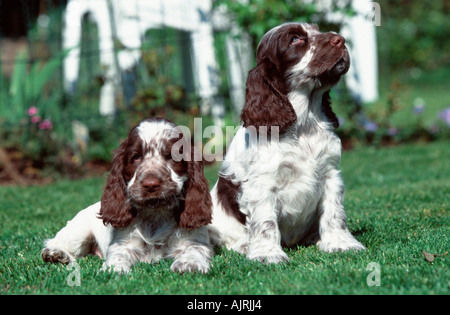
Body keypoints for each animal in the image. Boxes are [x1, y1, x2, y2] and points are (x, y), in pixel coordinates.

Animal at [41, 118, 214, 274]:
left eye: (172, 157)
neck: (155, 215)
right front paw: (114, 268)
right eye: (136, 157)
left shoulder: (195, 239)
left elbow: (195, 250)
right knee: (57, 241)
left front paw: (189, 264)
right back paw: (56, 254)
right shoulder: (123, 242)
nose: (151, 184)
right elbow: (118, 253)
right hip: (79, 230)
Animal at [207, 22, 366, 264]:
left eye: (316, 30)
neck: (304, 124)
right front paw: (267, 255)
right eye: (294, 40)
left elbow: (334, 213)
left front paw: (342, 244)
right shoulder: (261, 184)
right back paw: (244, 245)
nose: (340, 39)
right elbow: (265, 223)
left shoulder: (330, 174)